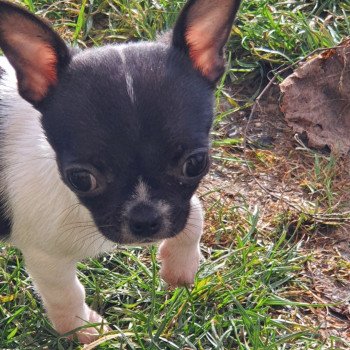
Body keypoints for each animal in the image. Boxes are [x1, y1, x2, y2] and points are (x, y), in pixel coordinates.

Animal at [0, 0, 241, 344]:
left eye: (195, 163)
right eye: (81, 179)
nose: (145, 219)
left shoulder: (178, 205)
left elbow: (194, 211)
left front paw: (181, 265)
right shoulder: (45, 256)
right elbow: (67, 293)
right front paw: (84, 330)